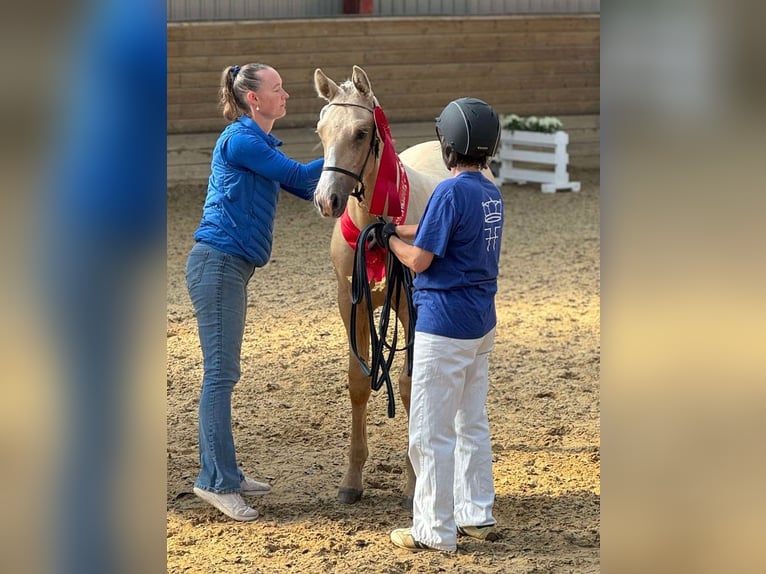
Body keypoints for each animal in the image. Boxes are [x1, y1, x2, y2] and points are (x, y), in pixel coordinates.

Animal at [316, 66, 452, 508]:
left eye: (361, 132)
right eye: (321, 129)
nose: (326, 199)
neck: (377, 229)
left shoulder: (411, 305)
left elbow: (409, 386)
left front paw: (414, 481)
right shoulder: (351, 302)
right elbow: (359, 381)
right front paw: (351, 480)